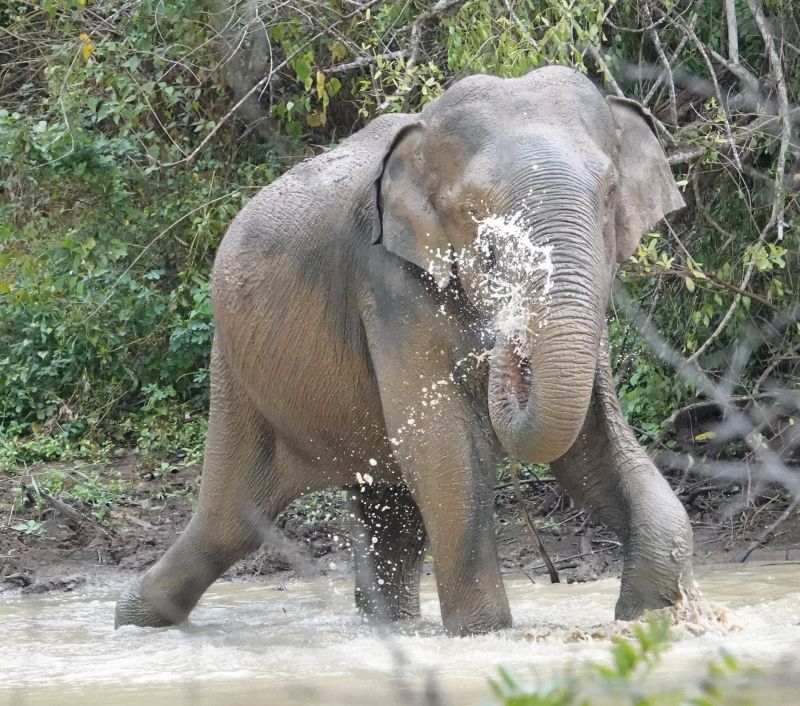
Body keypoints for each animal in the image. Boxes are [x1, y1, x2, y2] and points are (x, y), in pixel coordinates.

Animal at [115, 65, 695, 636]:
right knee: (233, 519)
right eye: (472, 213)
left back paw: (388, 627)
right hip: (234, 365)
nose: (505, 341)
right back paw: (130, 620)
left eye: (610, 192)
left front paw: (651, 614)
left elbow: (591, 445)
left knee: (381, 509)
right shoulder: (387, 283)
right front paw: (486, 635)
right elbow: (443, 447)